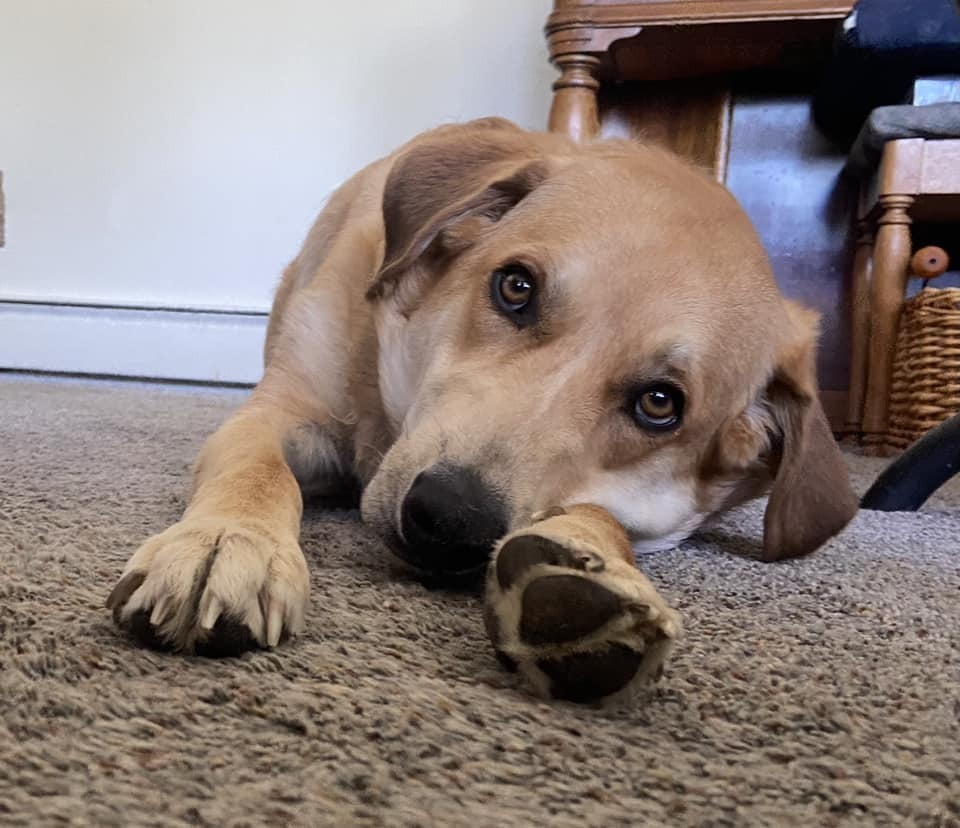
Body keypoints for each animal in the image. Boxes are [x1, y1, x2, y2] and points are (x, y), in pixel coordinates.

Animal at [105, 116, 856, 684]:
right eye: (515, 286)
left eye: (660, 403)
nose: (450, 520)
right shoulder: (282, 411)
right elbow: (257, 472)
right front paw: (228, 543)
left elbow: (602, 514)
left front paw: (583, 570)